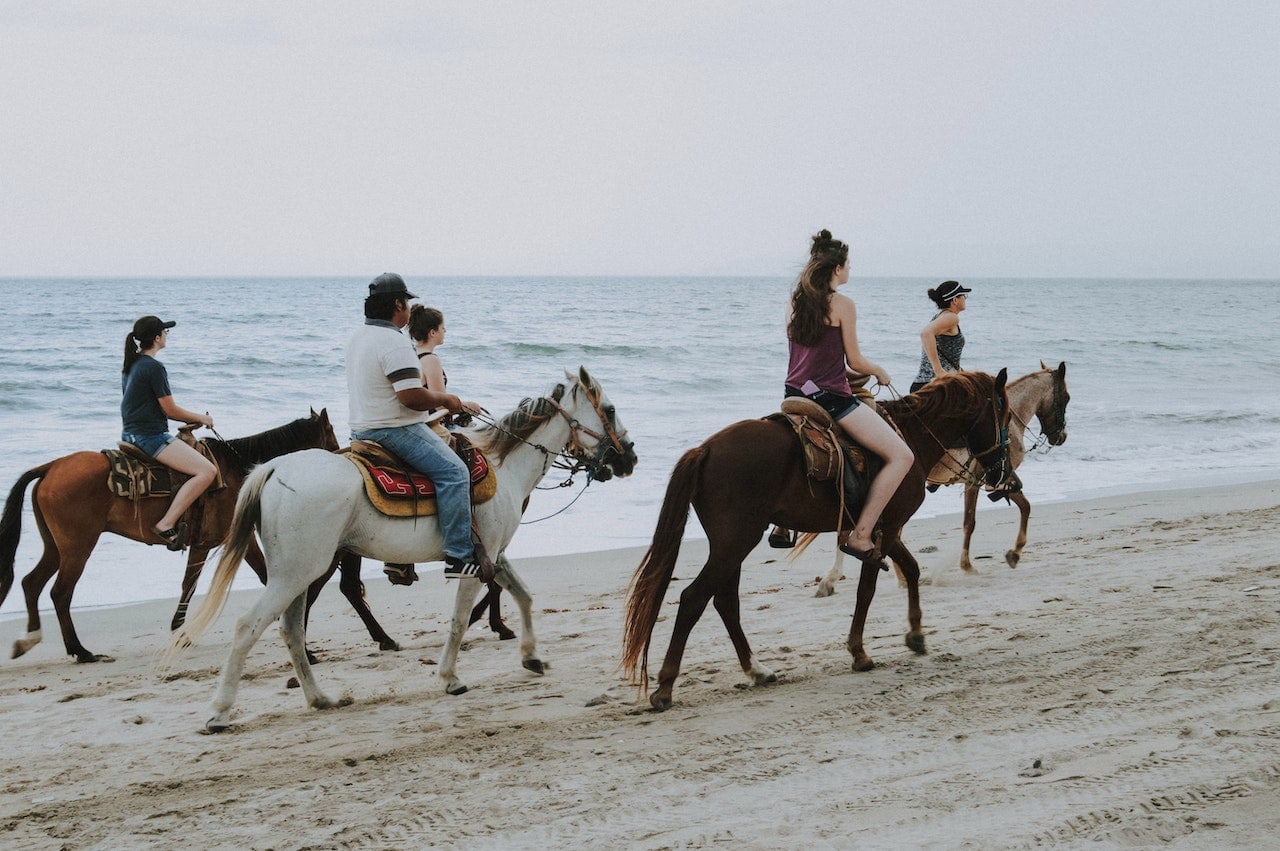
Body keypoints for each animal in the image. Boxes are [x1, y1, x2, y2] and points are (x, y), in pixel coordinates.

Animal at [0, 412, 396, 665]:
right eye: (330, 436)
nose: (348, 460)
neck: (238, 470)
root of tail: (51, 467)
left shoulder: (222, 543)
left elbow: (198, 583)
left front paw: (181, 631)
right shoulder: (217, 543)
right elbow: (210, 583)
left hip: (57, 547)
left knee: (32, 583)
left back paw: (30, 639)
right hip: (78, 547)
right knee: (59, 592)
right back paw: (79, 650)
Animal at [165, 365, 634, 731]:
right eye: (609, 410)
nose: (629, 457)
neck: (502, 467)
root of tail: (275, 468)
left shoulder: (494, 555)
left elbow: (523, 595)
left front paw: (532, 657)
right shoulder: (474, 561)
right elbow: (459, 621)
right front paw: (449, 677)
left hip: (298, 572)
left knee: (291, 630)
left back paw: (319, 698)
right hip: (297, 572)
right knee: (250, 626)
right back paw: (220, 712)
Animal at [622, 368, 1008, 706]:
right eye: (1003, 414)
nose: (1000, 471)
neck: (910, 437)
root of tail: (706, 449)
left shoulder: (883, 528)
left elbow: (910, 570)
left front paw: (915, 634)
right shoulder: (885, 528)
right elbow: (868, 589)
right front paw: (859, 652)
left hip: (730, 545)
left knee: (724, 602)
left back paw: (756, 670)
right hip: (735, 543)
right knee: (694, 599)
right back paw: (666, 686)